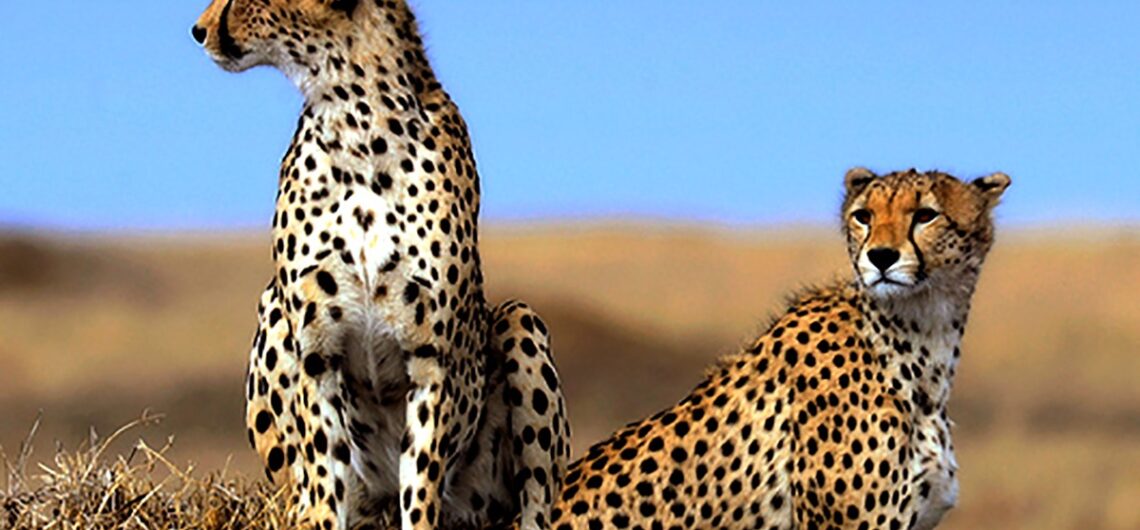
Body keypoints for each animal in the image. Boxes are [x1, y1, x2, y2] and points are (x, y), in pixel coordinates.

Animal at [194, 2, 574, 526]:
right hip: (273, 309)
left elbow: (421, 482)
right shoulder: (316, 350)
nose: (199, 30)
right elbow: (324, 474)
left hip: (520, 324)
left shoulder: (432, 360)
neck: (356, 123)